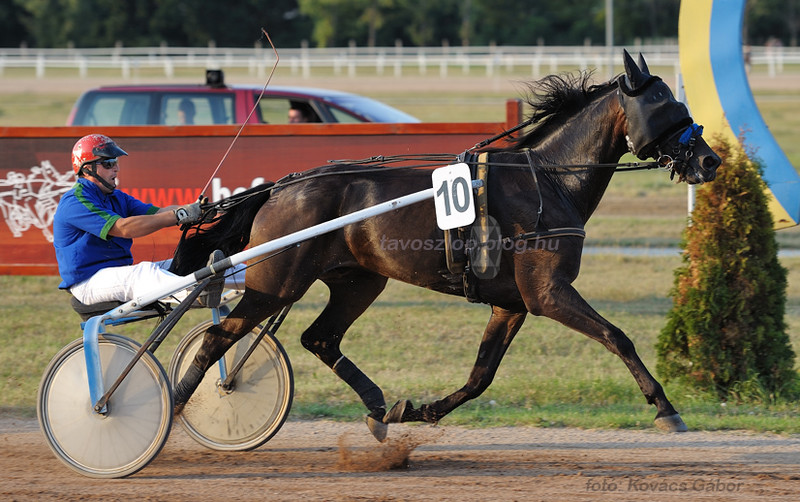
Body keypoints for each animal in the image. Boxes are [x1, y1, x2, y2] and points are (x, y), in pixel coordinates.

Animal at [169, 52, 720, 440]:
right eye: (666, 105)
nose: (709, 160)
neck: (547, 180)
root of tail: (280, 188)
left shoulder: (511, 303)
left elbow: (481, 376)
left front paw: (420, 410)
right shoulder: (547, 292)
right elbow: (617, 336)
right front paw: (665, 407)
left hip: (358, 280)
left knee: (320, 338)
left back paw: (379, 406)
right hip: (277, 283)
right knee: (219, 338)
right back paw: (176, 402)